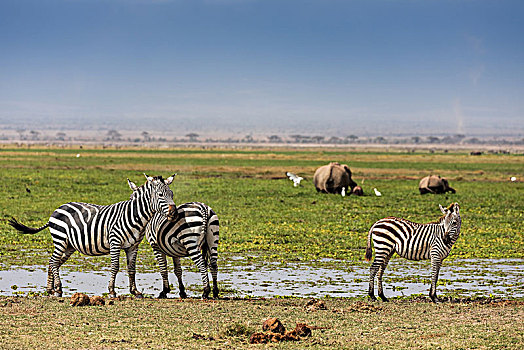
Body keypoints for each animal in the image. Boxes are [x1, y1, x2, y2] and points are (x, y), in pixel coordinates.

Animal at [8, 175, 177, 298]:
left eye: (172, 194)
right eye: (160, 195)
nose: (174, 212)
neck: (135, 216)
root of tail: (57, 209)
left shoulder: (133, 246)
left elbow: (131, 268)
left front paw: (135, 292)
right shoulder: (115, 242)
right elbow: (115, 266)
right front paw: (112, 291)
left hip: (69, 246)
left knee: (54, 263)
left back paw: (51, 289)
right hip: (60, 240)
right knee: (53, 261)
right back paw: (58, 289)